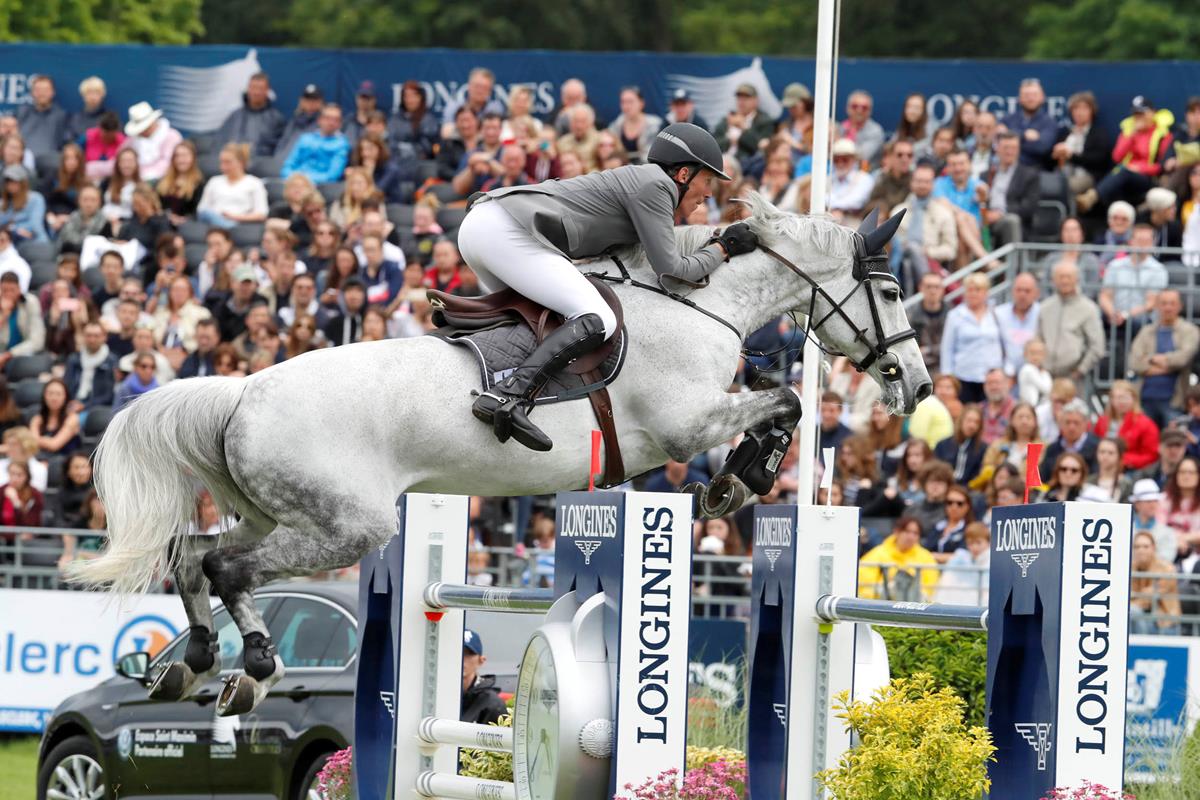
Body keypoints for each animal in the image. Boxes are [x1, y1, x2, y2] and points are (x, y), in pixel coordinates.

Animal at [68, 194, 926, 714]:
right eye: (889, 293)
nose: (915, 384)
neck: (701, 303)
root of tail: (243, 391)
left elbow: (780, 397)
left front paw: (737, 482)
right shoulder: (687, 425)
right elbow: (786, 401)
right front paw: (740, 484)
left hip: (276, 510)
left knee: (192, 558)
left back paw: (192, 663)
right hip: (347, 525)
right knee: (227, 568)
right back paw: (250, 671)